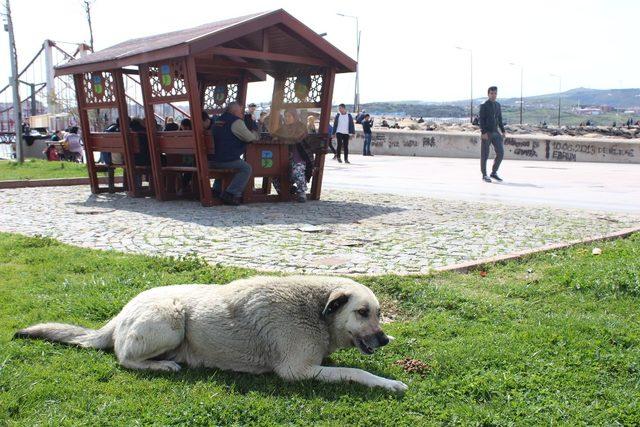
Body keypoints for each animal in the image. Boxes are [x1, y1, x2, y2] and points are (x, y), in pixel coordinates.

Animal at [15, 276, 408, 392]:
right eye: (362, 312)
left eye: (379, 314)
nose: (384, 340)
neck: (314, 310)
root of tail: (122, 312)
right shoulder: (297, 371)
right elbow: (355, 371)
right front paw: (388, 383)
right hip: (171, 318)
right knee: (124, 358)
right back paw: (162, 366)